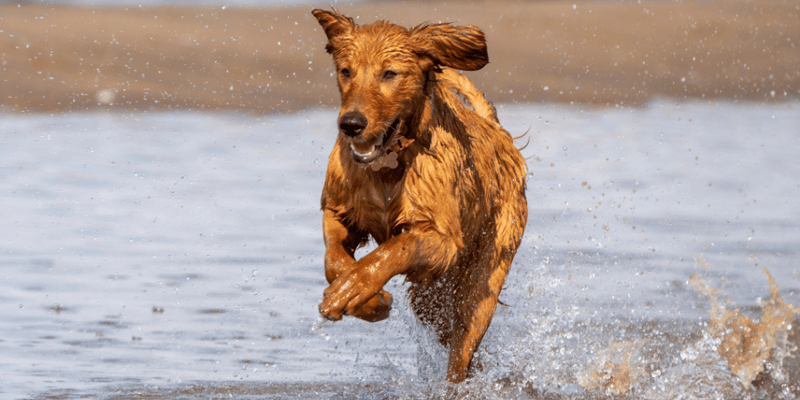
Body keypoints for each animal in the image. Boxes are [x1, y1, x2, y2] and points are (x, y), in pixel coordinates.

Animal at [314, 9, 532, 382]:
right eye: (346, 71)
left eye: (389, 74)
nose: (351, 124)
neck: (388, 166)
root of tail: (499, 133)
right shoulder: (339, 209)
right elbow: (334, 257)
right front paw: (365, 299)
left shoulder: (443, 240)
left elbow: (398, 246)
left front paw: (356, 287)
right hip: (432, 299)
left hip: (482, 281)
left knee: (462, 348)